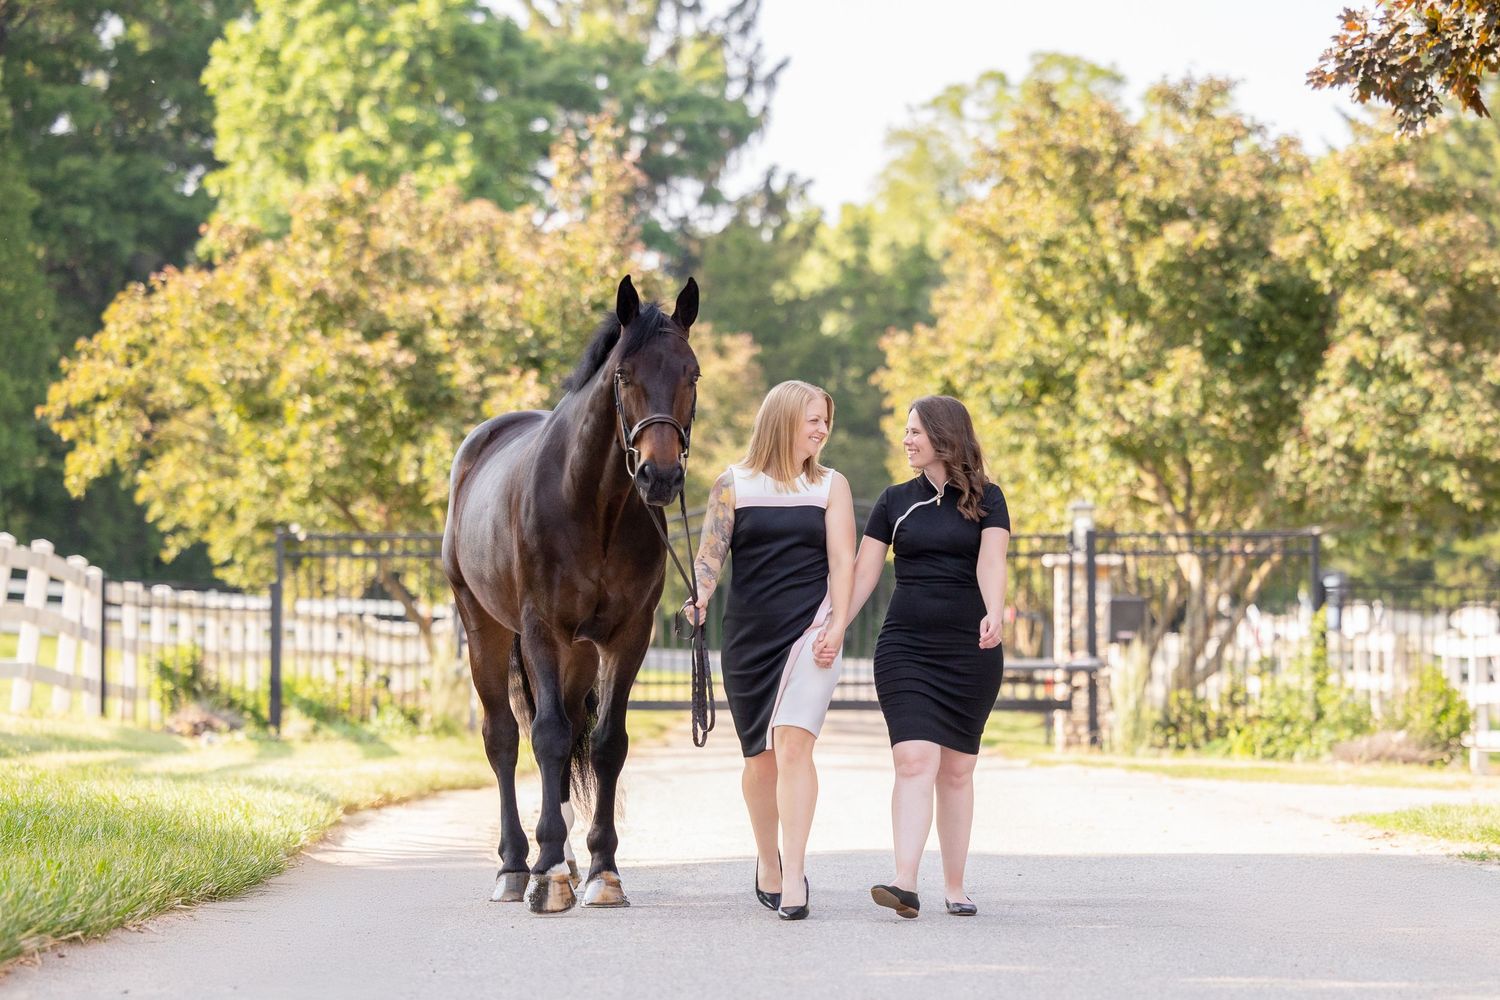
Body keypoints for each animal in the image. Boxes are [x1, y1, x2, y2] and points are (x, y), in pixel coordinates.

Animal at [442, 274, 700, 914]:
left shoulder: (626, 635)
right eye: (624, 374)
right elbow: (549, 737)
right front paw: (550, 877)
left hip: (580, 652)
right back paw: (517, 866)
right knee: (505, 739)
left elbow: (606, 743)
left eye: (693, 373)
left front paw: (602, 871)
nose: (660, 477)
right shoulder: (541, 629)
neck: (593, 503)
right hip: (484, 628)